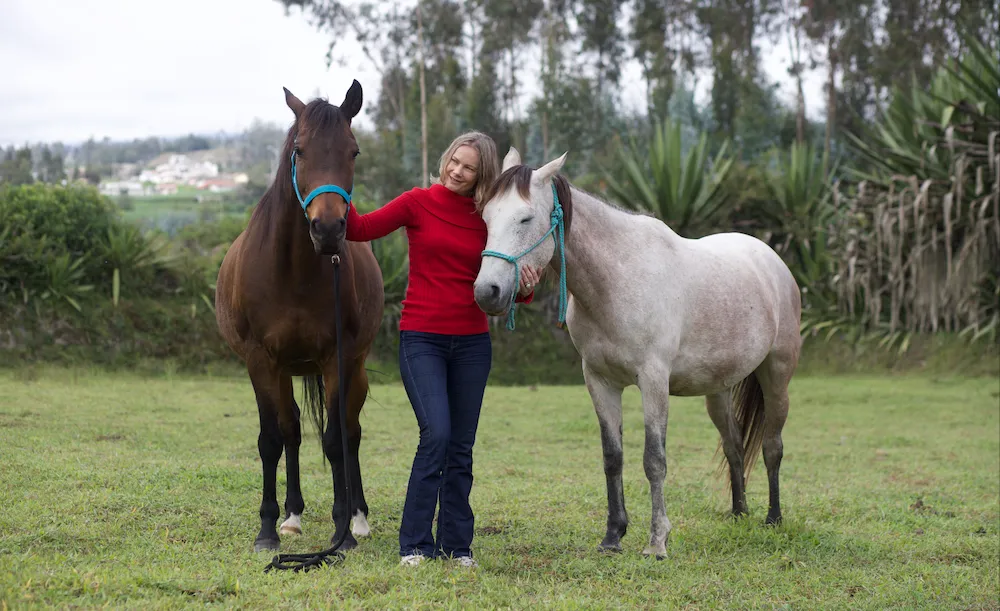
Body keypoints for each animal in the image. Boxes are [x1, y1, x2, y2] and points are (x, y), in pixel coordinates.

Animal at [215, 81, 382, 556]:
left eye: (353, 150)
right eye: (299, 150)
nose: (327, 229)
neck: (293, 272)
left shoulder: (335, 360)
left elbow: (335, 440)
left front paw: (343, 532)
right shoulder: (260, 361)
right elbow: (272, 438)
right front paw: (268, 529)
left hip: (354, 370)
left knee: (351, 431)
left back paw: (358, 517)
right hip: (284, 370)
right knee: (290, 429)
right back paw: (291, 516)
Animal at [472, 148, 800, 560]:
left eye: (526, 218)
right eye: (486, 217)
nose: (487, 292)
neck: (617, 279)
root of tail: (772, 261)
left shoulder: (653, 381)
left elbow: (654, 460)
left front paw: (657, 541)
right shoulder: (599, 381)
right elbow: (613, 458)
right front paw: (613, 536)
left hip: (777, 378)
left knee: (773, 447)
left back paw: (773, 518)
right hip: (718, 390)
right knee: (735, 447)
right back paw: (739, 514)